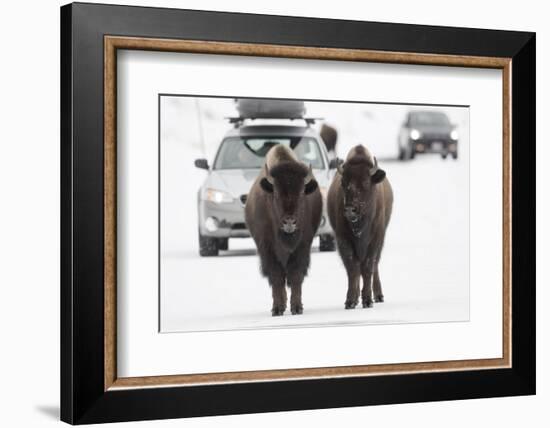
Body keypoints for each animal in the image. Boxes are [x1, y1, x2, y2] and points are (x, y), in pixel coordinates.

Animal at [246, 145, 324, 316]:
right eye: (275, 193)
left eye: (301, 193)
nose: (289, 221)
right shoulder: (267, 248)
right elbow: (276, 277)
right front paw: (277, 309)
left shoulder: (302, 246)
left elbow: (295, 275)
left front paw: (297, 308)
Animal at [328, 145, 392, 310]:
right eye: (343, 183)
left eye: (365, 183)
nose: (350, 210)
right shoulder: (343, 240)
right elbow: (353, 268)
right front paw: (350, 300)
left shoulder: (375, 240)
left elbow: (368, 267)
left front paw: (368, 300)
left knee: (374, 266)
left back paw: (378, 295)